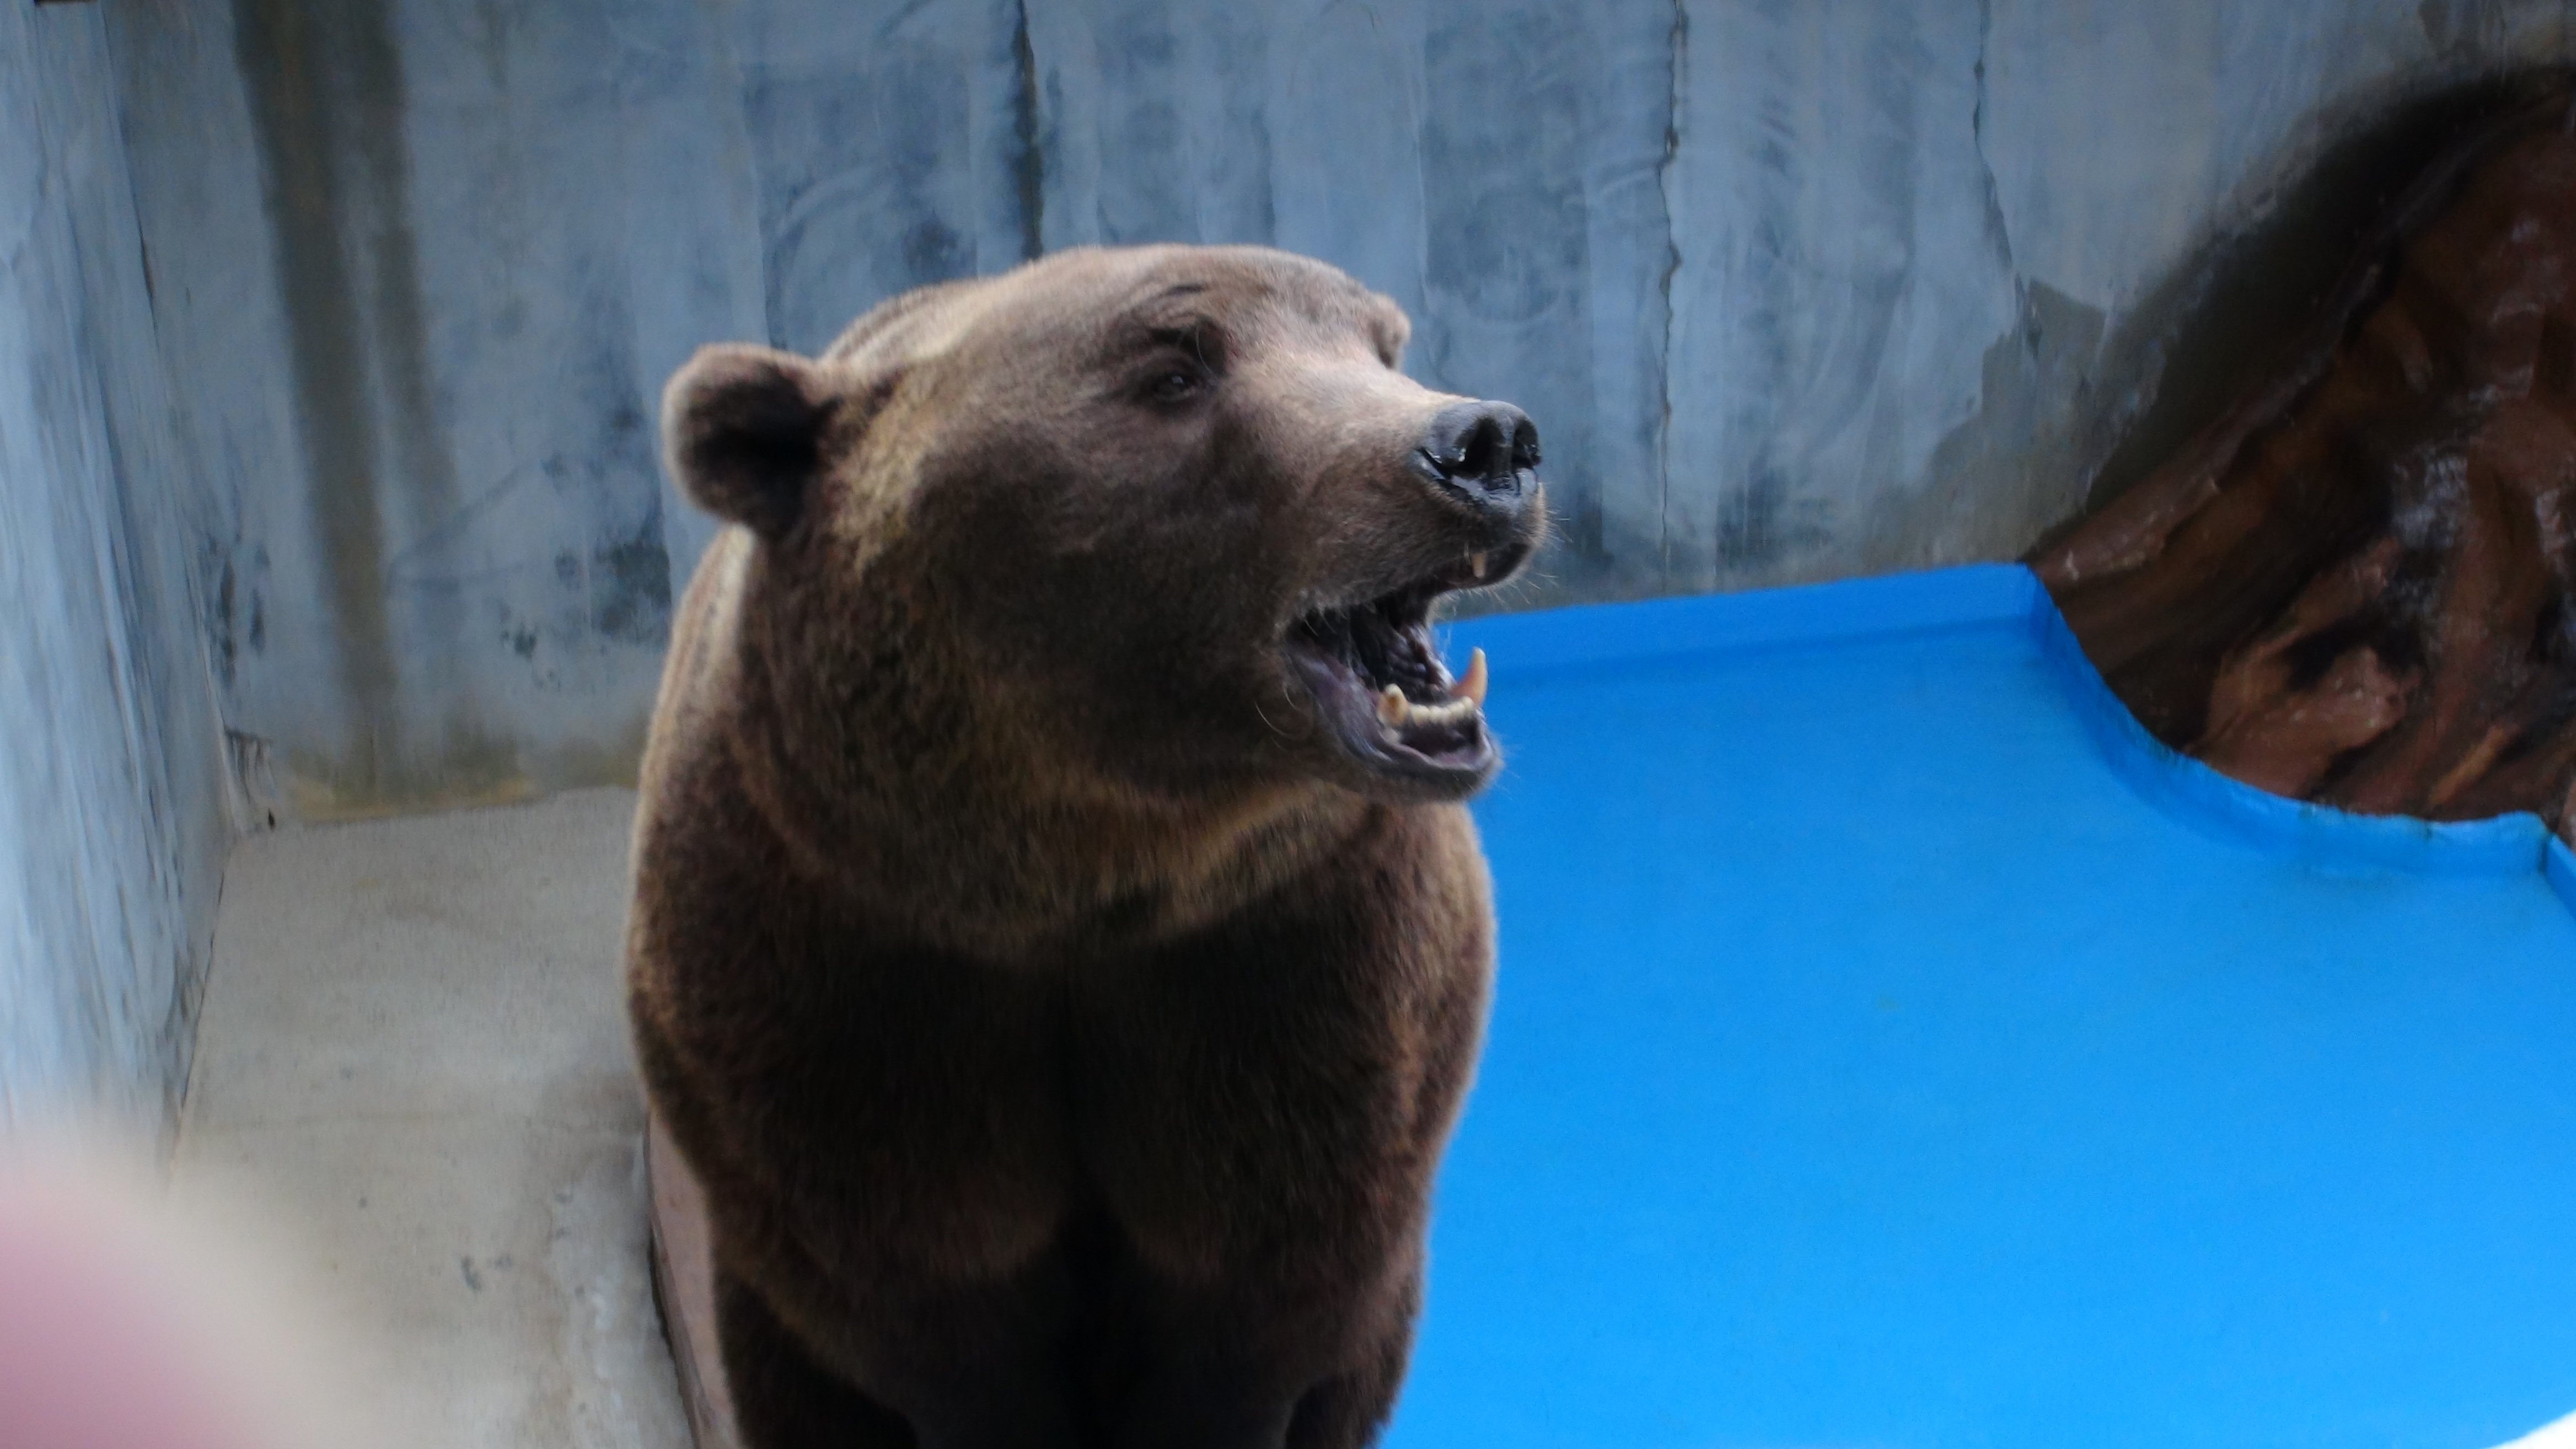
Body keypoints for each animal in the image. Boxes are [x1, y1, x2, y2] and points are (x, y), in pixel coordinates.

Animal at [631, 247, 1535, 1443]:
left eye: (1380, 344)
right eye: (1175, 367)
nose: (1483, 444)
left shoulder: (1296, 960)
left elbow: (1255, 1298)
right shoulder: (841, 974)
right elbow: (934, 1302)